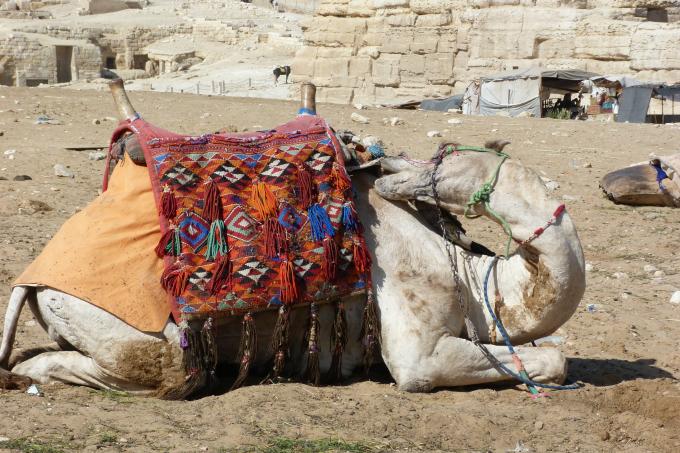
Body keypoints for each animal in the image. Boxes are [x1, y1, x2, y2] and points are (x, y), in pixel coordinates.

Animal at [0, 82, 585, 397]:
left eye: (444, 155)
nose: (386, 167)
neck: (478, 284)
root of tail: (31, 277)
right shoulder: (418, 349)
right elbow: (548, 358)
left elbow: (553, 355)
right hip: (128, 329)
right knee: (152, 369)